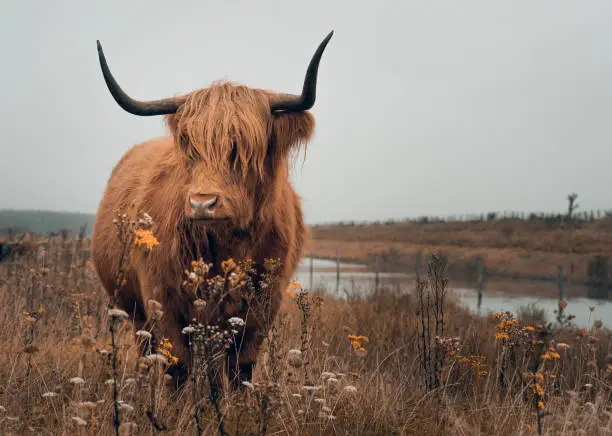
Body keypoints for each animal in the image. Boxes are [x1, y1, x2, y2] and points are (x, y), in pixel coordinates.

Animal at [89, 32, 334, 390]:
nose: (202, 203)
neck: (228, 246)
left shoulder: (262, 306)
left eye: (243, 147)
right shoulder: (162, 299)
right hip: (133, 310)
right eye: (190, 145)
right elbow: (176, 366)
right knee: (148, 350)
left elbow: (241, 369)